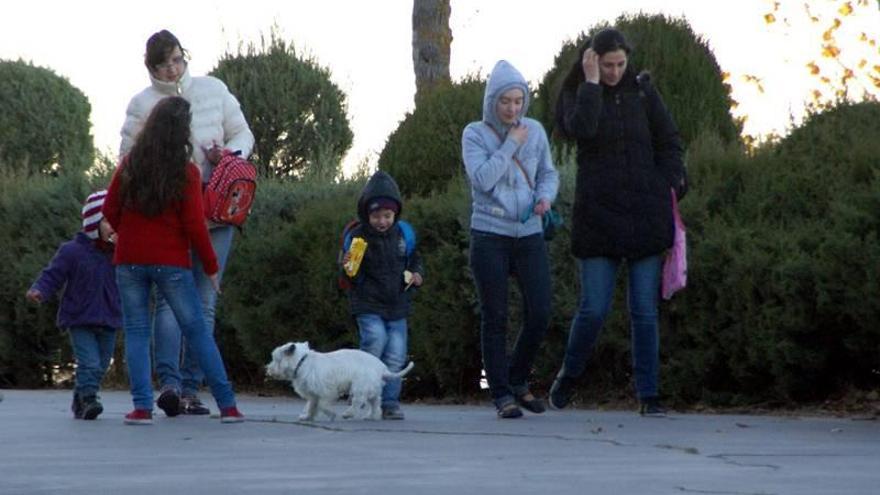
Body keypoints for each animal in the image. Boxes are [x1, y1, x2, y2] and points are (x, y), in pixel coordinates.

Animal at [264, 340, 416, 422]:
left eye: (275, 359)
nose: (268, 369)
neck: (302, 362)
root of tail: (382, 368)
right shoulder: (313, 395)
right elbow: (312, 406)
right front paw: (307, 417)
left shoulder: (326, 392)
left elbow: (322, 405)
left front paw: (331, 414)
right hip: (372, 388)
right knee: (375, 403)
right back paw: (371, 416)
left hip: (360, 387)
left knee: (358, 402)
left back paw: (348, 414)